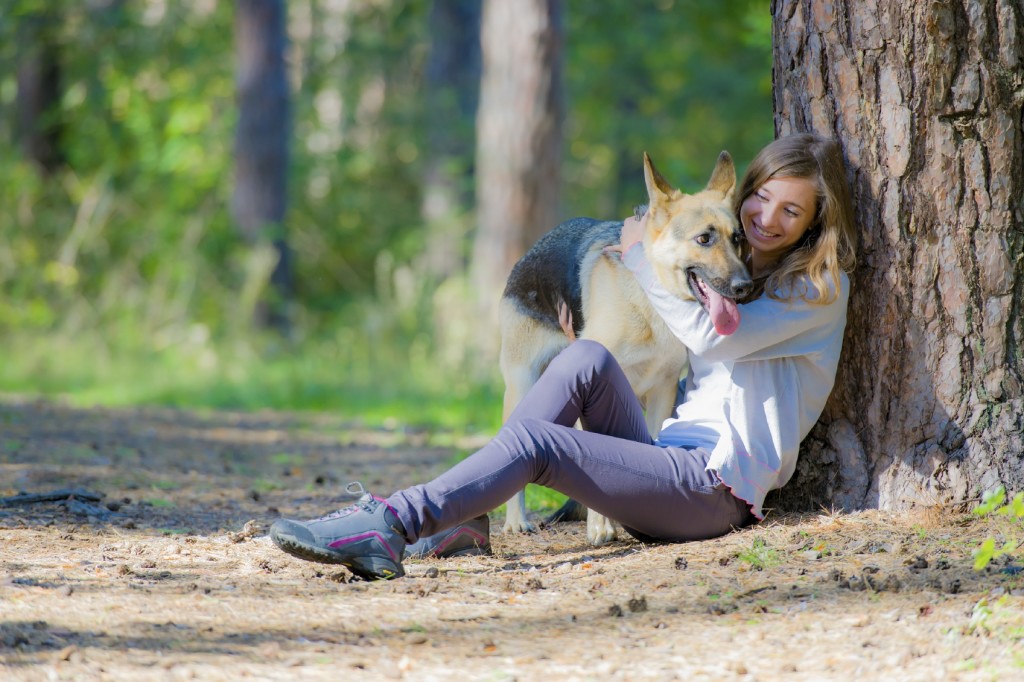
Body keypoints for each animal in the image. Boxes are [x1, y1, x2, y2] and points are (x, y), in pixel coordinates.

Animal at [497, 151, 753, 544]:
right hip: (522, 386)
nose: (745, 287)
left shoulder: (663, 390)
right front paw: (600, 526)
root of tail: (532, 250)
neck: (653, 300)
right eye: (704, 238)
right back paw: (515, 520)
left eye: (737, 238)